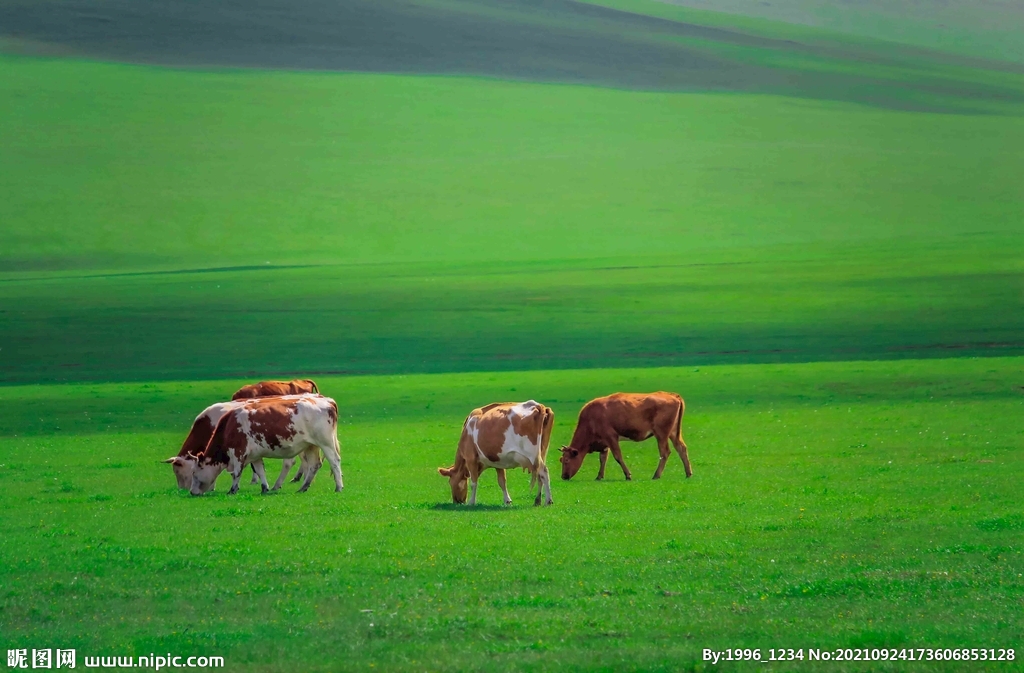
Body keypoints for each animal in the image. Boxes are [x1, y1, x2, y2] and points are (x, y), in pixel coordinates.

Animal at [192, 393, 348, 493]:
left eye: (194, 472)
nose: (192, 492)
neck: (229, 425)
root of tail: (328, 401)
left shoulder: (238, 452)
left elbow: (237, 472)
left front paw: (232, 489)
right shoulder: (254, 455)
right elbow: (260, 470)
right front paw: (264, 488)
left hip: (325, 443)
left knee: (334, 461)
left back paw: (339, 487)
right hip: (311, 445)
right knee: (315, 465)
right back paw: (303, 487)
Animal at [557, 391, 692, 479]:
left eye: (567, 460)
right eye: (561, 460)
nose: (564, 476)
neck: (591, 419)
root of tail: (672, 395)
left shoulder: (611, 437)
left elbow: (618, 456)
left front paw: (628, 475)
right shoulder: (604, 443)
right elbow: (603, 459)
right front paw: (599, 476)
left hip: (661, 434)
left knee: (665, 452)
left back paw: (656, 475)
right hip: (674, 433)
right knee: (681, 448)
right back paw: (688, 473)